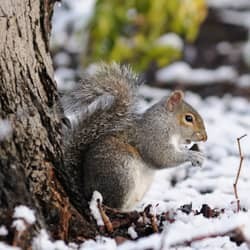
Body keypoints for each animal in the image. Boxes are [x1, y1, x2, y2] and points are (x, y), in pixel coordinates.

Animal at [60, 62, 207, 211]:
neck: (165, 121)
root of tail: (86, 191)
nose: (204, 137)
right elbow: (162, 156)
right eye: (188, 118)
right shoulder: (153, 135)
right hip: (121, 176)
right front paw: (193, 155)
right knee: (112, 204)